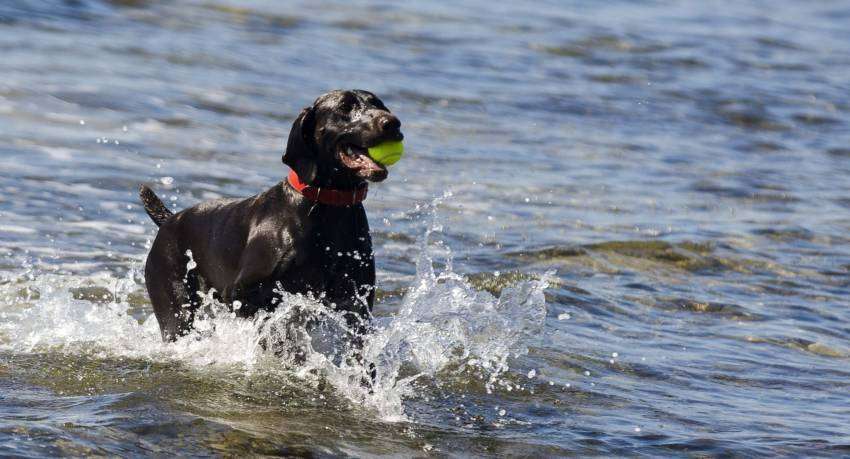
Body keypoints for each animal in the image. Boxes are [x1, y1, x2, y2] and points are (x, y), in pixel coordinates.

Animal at [140, 90, 404, 344]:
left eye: (379, 104)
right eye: (344, 107)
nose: (392, 123)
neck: (328, 207)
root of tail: (169, 220)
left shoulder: (355, 307)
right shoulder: (241, 293)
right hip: (176, 310)